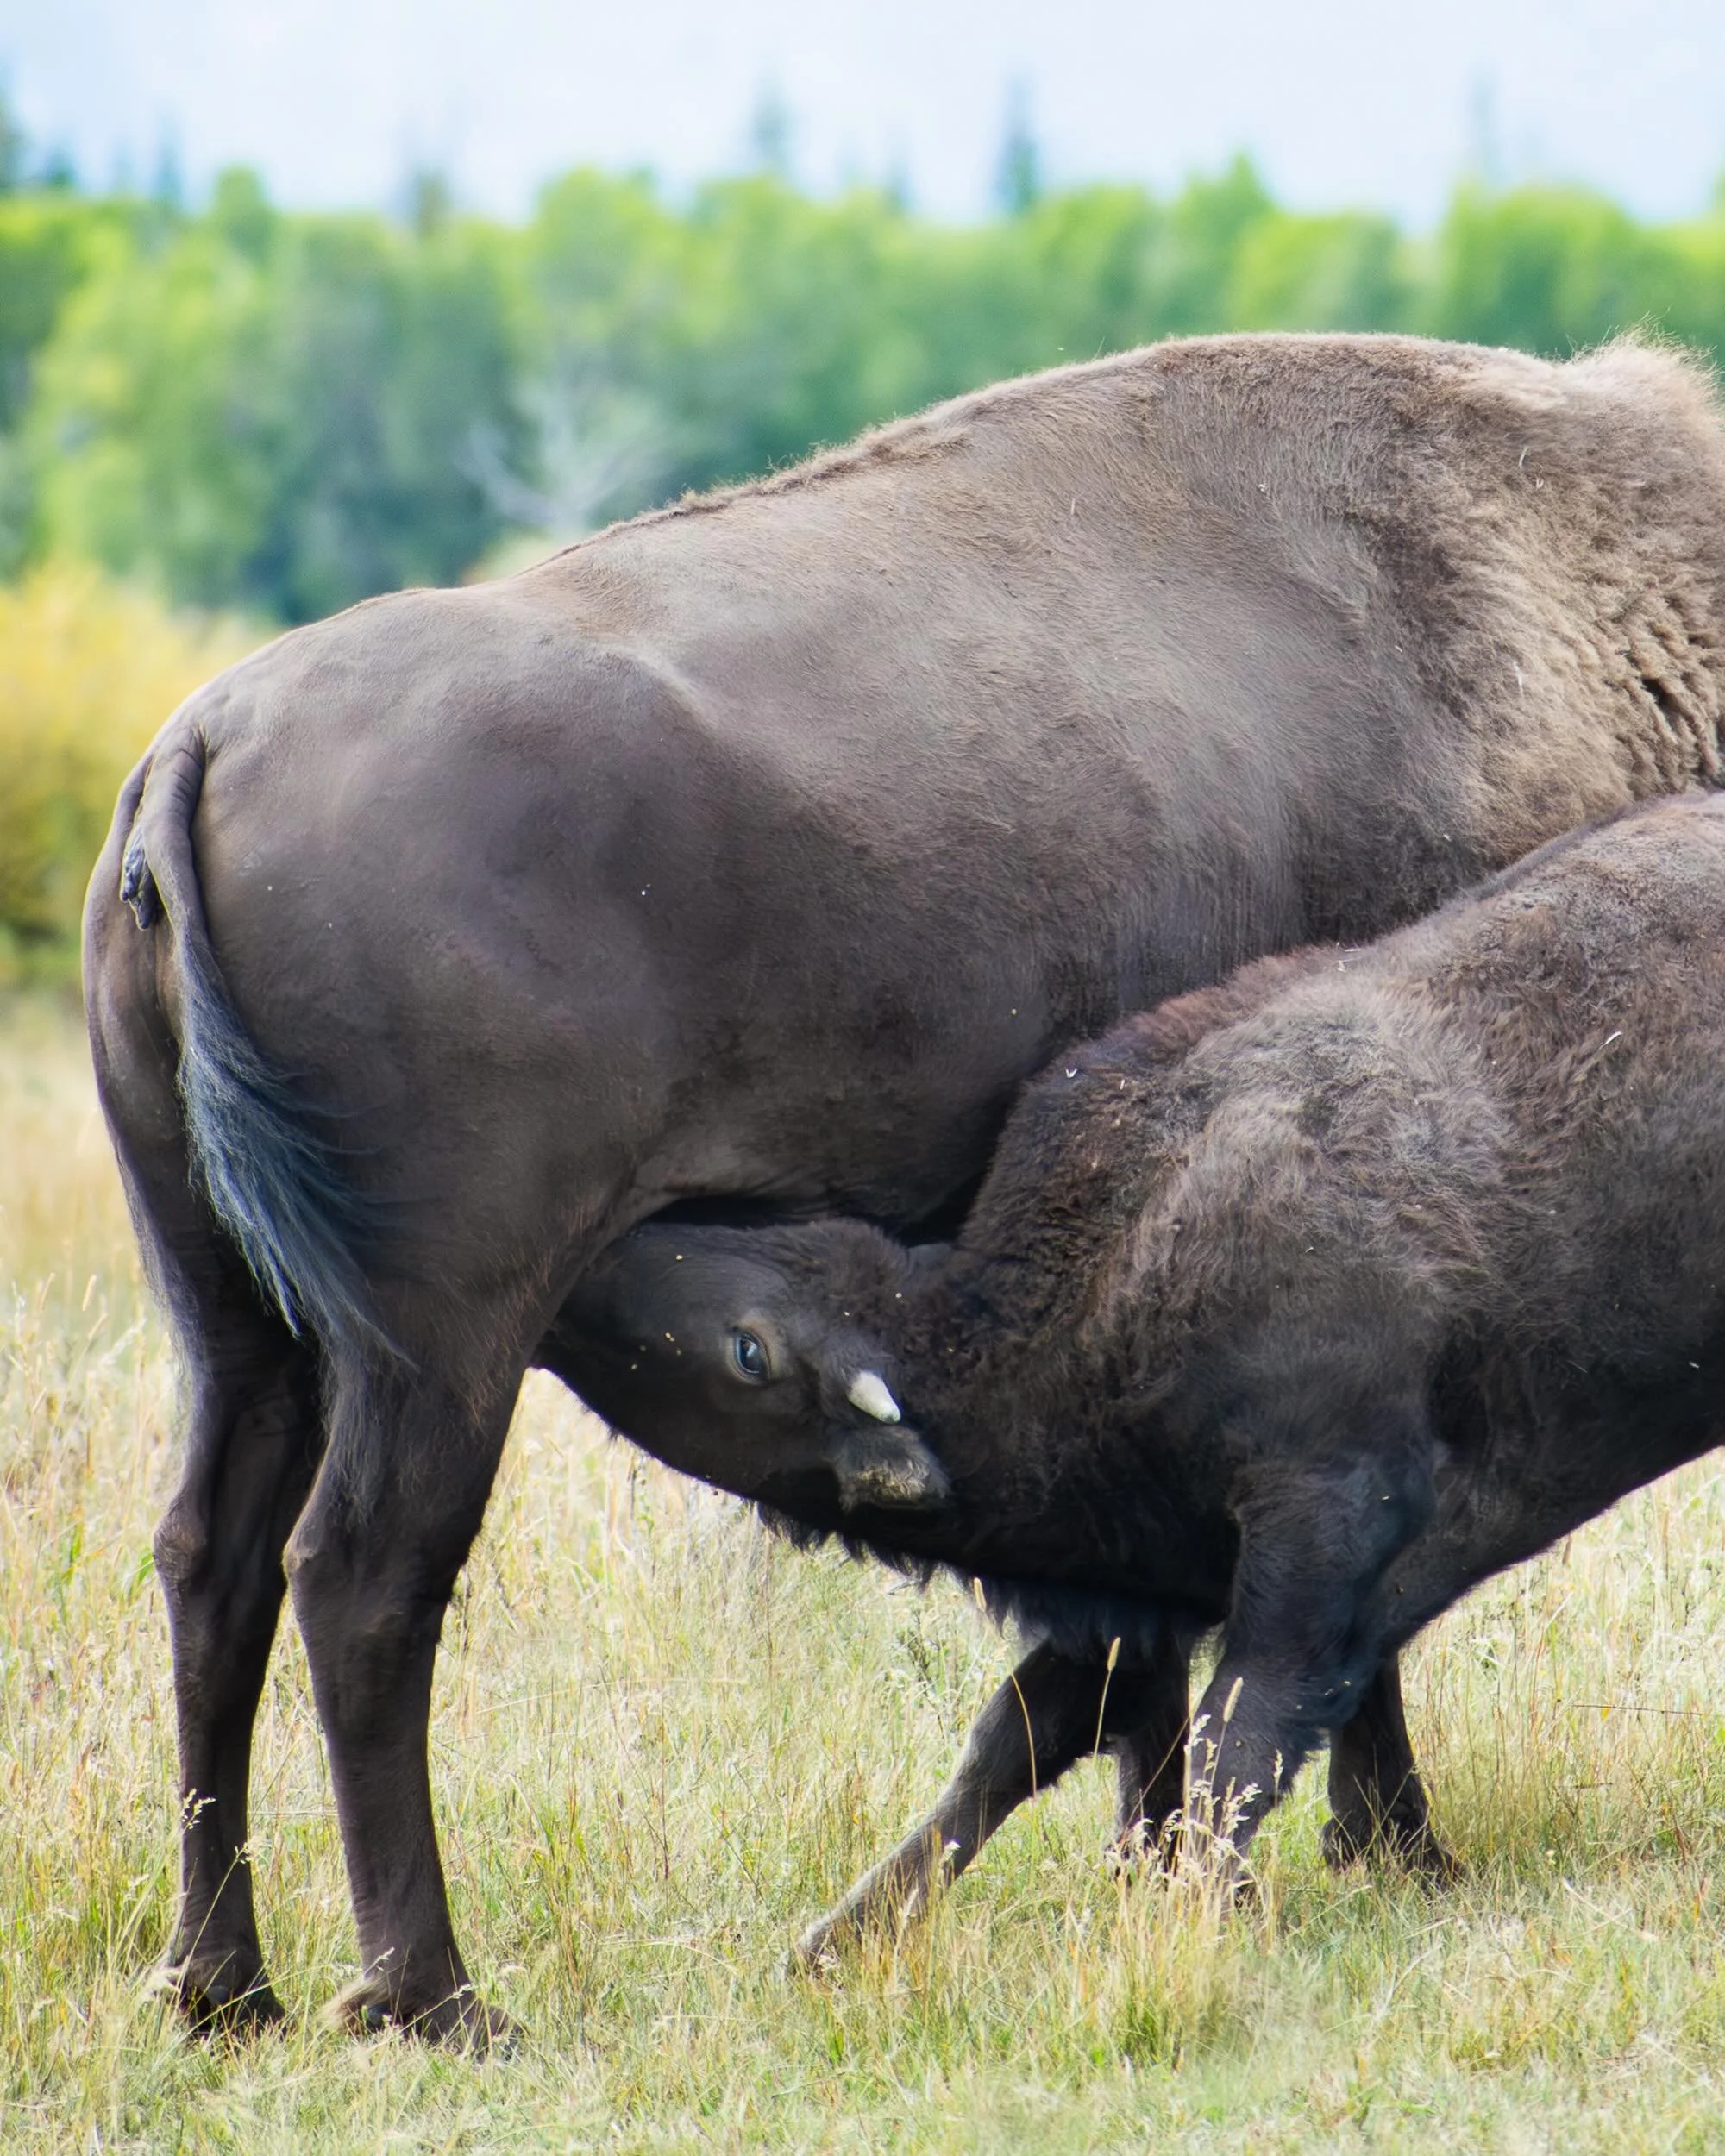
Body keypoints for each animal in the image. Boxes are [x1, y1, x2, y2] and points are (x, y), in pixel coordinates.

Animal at [560, 795, 1725, 1958]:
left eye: (749, 1350)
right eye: (797, 1242)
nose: (594, 1260)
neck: (1124, 1253)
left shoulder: (1322, 1527)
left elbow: (1234, 1738)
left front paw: (1196, 1918)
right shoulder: (1144, 1591)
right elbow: (1015, 1739)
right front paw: (831, 1943)